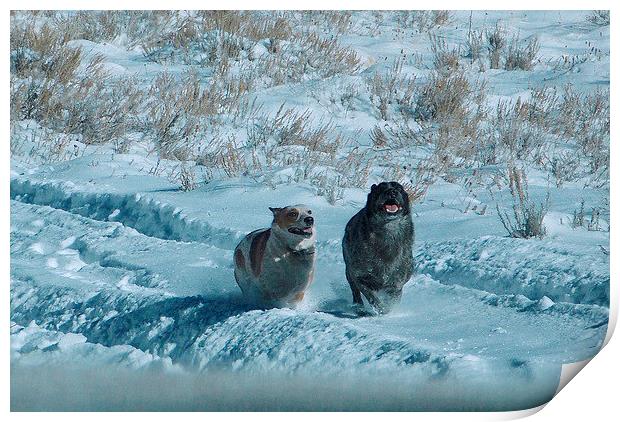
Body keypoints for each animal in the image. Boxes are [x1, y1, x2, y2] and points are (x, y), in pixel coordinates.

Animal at [342, 181, 414, 314]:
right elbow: (372, 297)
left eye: (399, 189)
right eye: (381, 189)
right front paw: (381, 309)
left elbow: (393, 299)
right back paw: (358, 307)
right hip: (348, 271)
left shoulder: (396, 283)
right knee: (355, 292)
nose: (392, 192)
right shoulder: (360, 276)